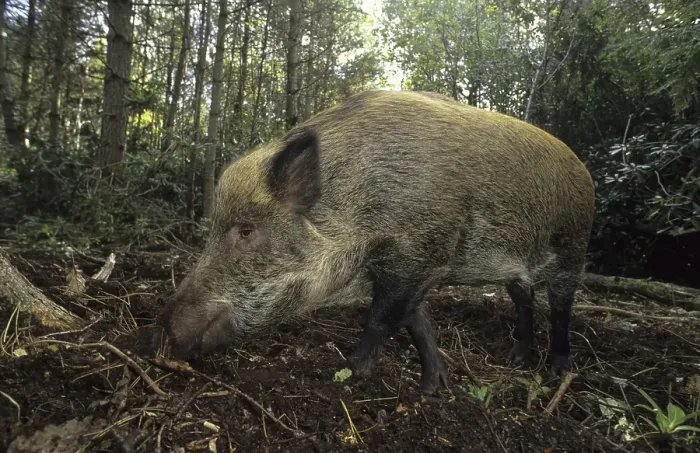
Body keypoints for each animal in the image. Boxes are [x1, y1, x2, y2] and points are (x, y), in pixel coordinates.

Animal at [160, 90, 595, 394]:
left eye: (247, 231)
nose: (163, 336)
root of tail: (585, 172)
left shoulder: (414, 256)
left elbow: (382, 318)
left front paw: (348, 376)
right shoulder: (408, 264)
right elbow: (417, 322)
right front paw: (433, 387)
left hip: (573, 246)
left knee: (561, 308)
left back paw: (555, 373)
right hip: (518, 268)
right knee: (525, 297)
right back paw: (516, 357)